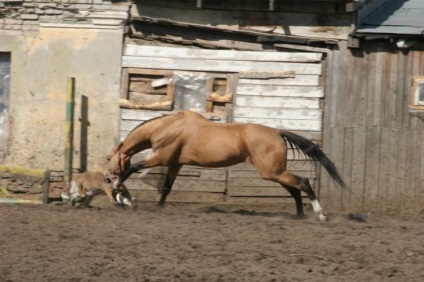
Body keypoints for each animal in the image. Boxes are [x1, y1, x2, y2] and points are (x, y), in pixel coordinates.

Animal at [103, 110, 348, 220]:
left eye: (107, 158)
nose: (106, 178)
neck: (167, 127)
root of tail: (277, 132)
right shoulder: (175, 164)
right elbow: (166, 187)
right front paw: (157, 207)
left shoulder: (160, 158)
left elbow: (133, 167)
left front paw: (121, 194)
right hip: (274, 172)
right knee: (295, 189)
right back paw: (299, 215)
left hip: (271, 171)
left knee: (303, 183)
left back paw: (320, 215)